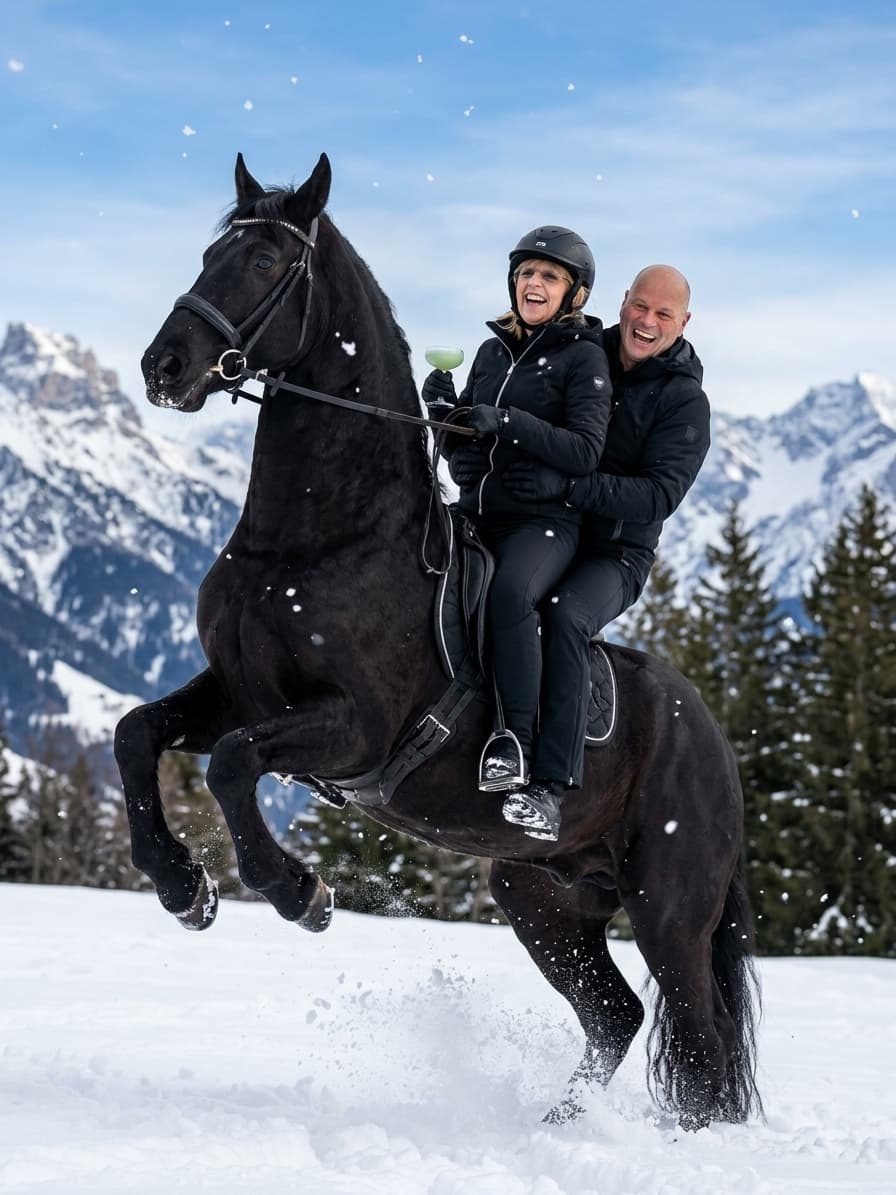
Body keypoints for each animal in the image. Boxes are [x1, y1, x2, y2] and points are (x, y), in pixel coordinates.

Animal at [116, 151, 761, 1131]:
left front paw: (301, 894)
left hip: (670, 907)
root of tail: (714, 737)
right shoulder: (236, 690)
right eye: (208, 253)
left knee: (701, 1039)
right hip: (541, 895)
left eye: (266, 262)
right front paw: (181, 887)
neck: (316, 539)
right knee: (617, 1014)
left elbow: (230, 764)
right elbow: (137, 733)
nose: (166, 365)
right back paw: (554, 1128)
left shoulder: (351, 727)